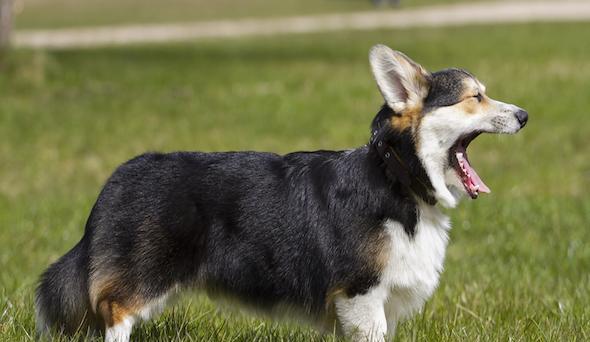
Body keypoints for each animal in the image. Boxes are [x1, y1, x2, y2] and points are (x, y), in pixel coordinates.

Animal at [35, 45, 528, 342]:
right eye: (475, 98)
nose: (524, 115)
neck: (396, 176)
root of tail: (117, 179)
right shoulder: (361, 294)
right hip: (147, 273)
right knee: (115, 309)